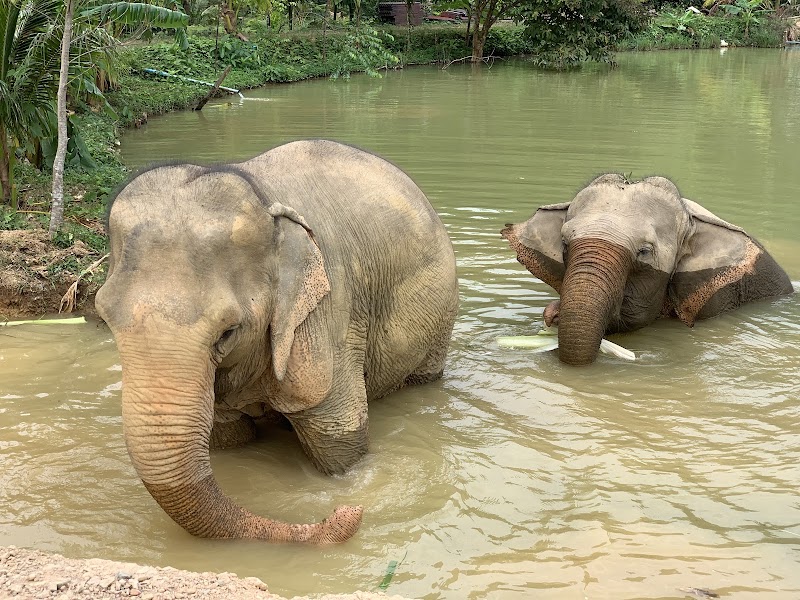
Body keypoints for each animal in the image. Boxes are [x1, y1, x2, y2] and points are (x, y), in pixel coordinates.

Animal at [95, 139, 459, 544]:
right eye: (104, 317)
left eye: (227, 332)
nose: (348, 511)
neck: (263, 198)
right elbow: (228, 437)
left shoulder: (330, 314)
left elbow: (338, 437)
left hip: (440, 315)